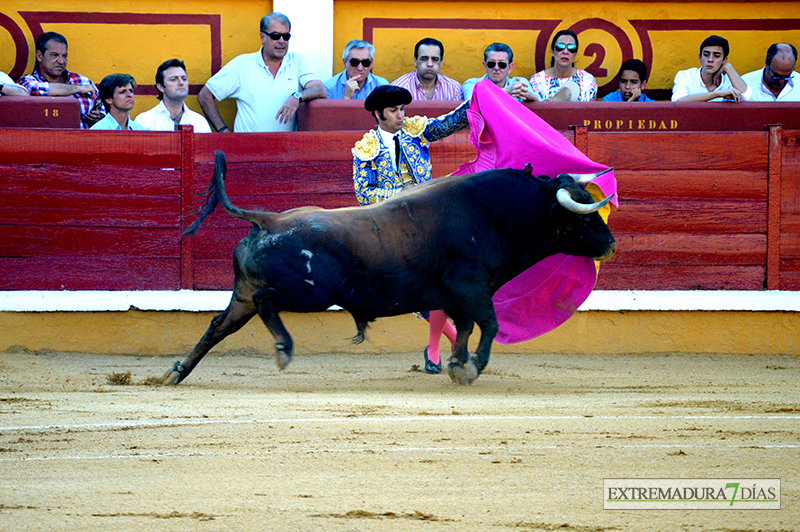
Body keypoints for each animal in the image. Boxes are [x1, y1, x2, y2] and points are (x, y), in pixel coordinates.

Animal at [159, 152, 616, 384]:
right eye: (582, 216)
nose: (611, 244)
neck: (498, 213)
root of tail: (268, 219)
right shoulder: (471, 286)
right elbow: (488, 323)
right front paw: (471, 368)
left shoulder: (458, 295)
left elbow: (467, 326)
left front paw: (455, 365)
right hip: (310, 291)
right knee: (267, 300)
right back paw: (284, 349)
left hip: (243, 296)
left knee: (219, 325)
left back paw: (175, 373)